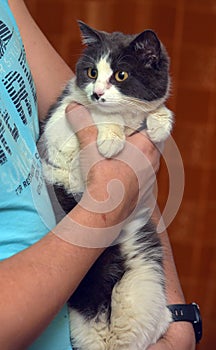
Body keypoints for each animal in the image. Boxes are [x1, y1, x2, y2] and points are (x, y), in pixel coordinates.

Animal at [39, 21, 173, 350]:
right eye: (91, 73)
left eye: (120, 75)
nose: (97, 93)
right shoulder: (58, 125)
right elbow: (94, 117)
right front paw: (111, 138)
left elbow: (155, 111)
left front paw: (159, 122)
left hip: (145, 281)